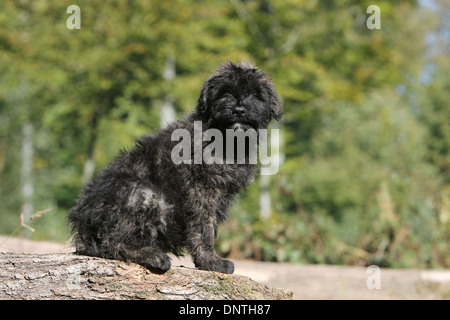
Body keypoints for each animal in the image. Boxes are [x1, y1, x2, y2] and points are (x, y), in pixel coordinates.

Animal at [68, 61, 284, 274]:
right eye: (225, 93)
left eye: (255, 94)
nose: (239, 109)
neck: (225, 139)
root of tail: (82, 222)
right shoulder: (202, 190)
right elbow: (204, 228)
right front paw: (210, 262)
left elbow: (210, 226)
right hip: (147, 195)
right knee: (112, 242)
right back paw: (153, 256)